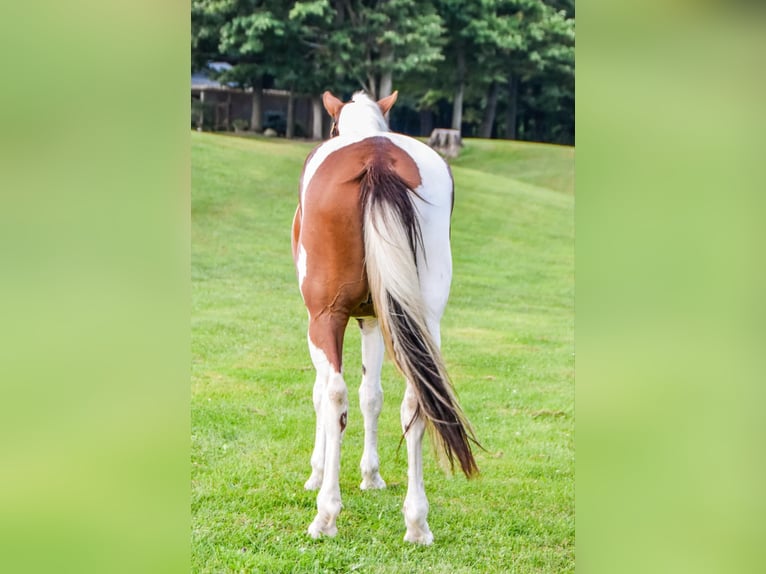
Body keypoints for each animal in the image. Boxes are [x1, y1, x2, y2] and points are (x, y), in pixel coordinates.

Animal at [291, 90, 478, 545]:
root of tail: (376, 155)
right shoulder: (376, 320)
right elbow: (371, 395)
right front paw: (372, 476)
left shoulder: (323, 319)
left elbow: (324, 394)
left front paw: (317, 473)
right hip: (421, 320)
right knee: (416, 400)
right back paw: (417, 522)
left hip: (326, 317)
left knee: (334, 396)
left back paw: (326, 515)